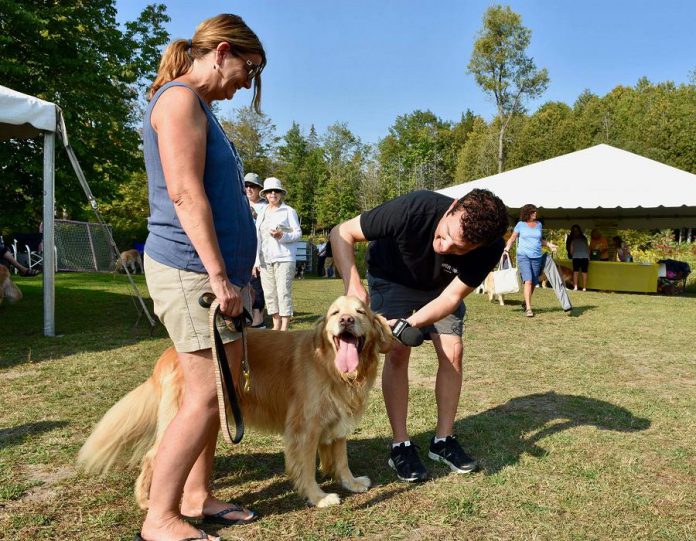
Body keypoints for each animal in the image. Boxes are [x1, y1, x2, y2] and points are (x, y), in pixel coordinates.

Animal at [79, 296, 394, 506]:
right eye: (334, 313)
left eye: (360, 311)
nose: (346, 320)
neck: (333, 368)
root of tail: (168, 354)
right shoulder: (304, 428)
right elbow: (305, 467)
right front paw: (318, 497)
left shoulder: (338, 420)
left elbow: (341, 459)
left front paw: (351, 483)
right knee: (153, 456)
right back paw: (146, 499)